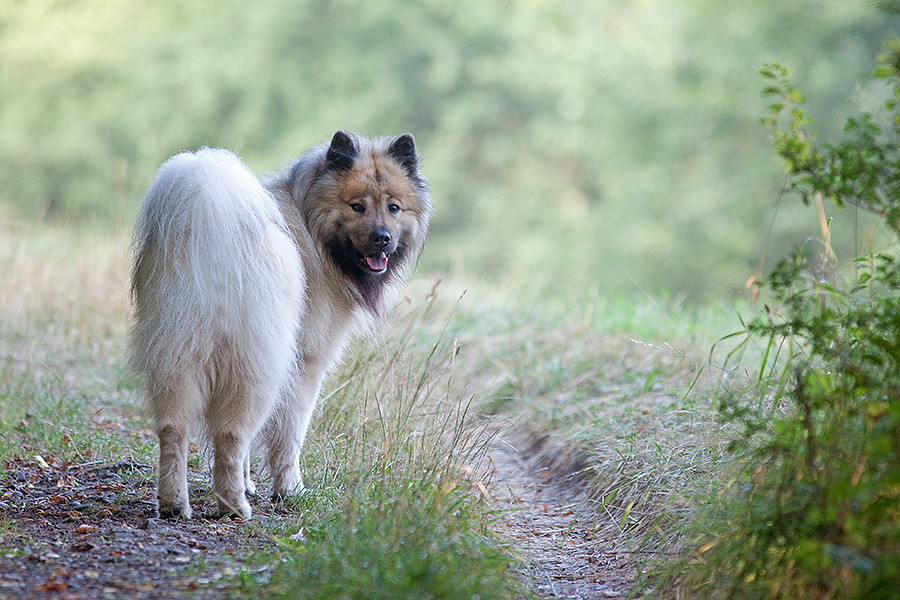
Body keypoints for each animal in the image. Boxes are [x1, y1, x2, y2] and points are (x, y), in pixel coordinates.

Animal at [129, 131, 432, 520]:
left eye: (394, 208)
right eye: (357, 207)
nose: (382, 238)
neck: (311, 223)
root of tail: (209, 229)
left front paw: (251, 484)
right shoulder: (306, 363)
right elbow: (289, 434)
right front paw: (289, 489)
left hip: (174, 355)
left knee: (173, 430)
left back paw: (173, 503)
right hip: (259, 364)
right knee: (231, 434)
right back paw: (234, 506)